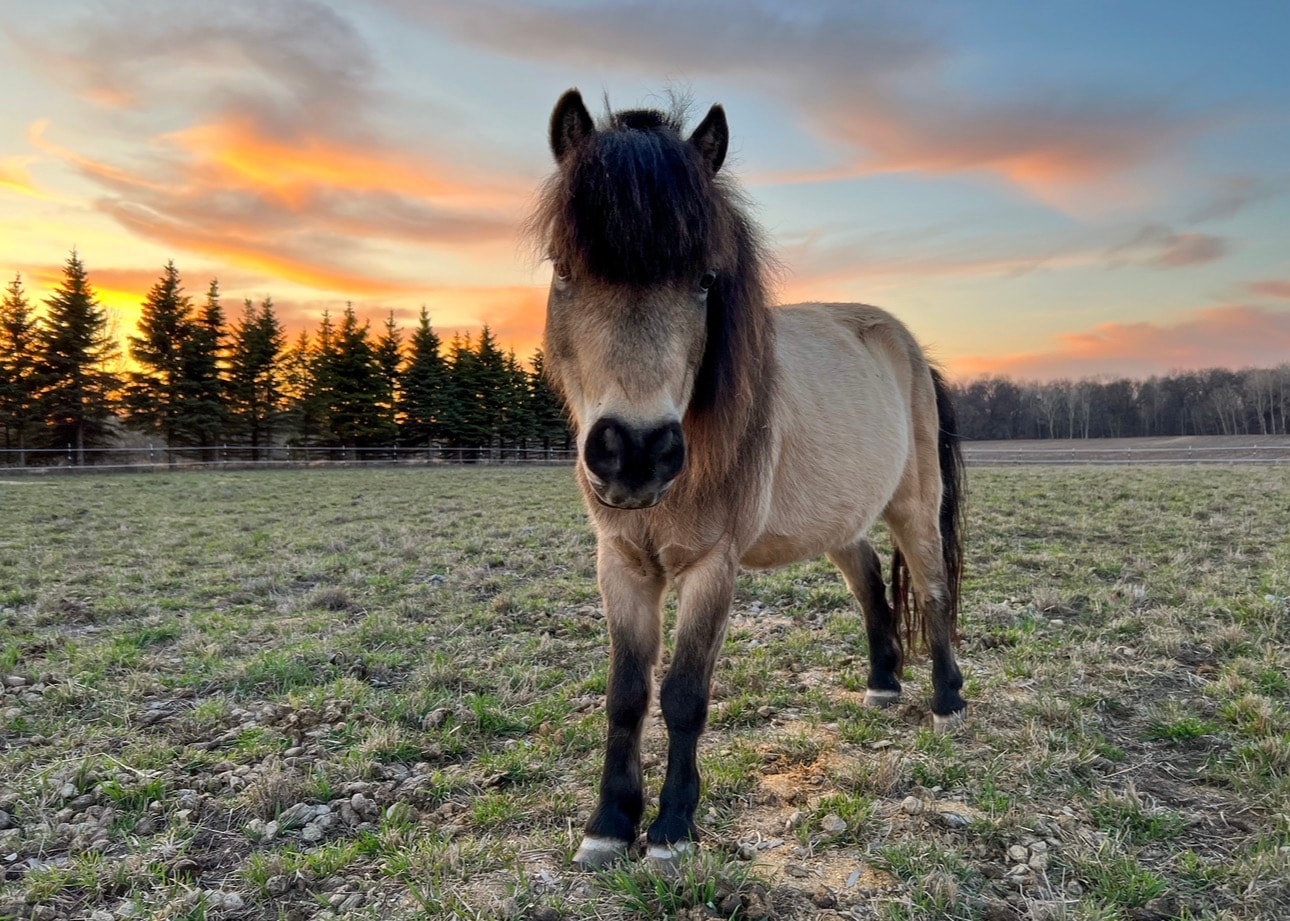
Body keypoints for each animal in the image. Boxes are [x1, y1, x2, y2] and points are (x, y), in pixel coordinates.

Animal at [530, 88, 967, 869]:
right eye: (563, 268)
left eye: (706, 278)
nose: (634, 452)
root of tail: (910, 346)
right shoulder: (622, 564)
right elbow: (625, 694)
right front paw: (609, 823)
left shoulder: (713, 566)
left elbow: (682, 693)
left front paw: (672, 827)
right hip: (839, 520)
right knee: (870, 584)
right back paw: (883, 685)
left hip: (915, 505)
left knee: (935, 589)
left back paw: (947, 700)